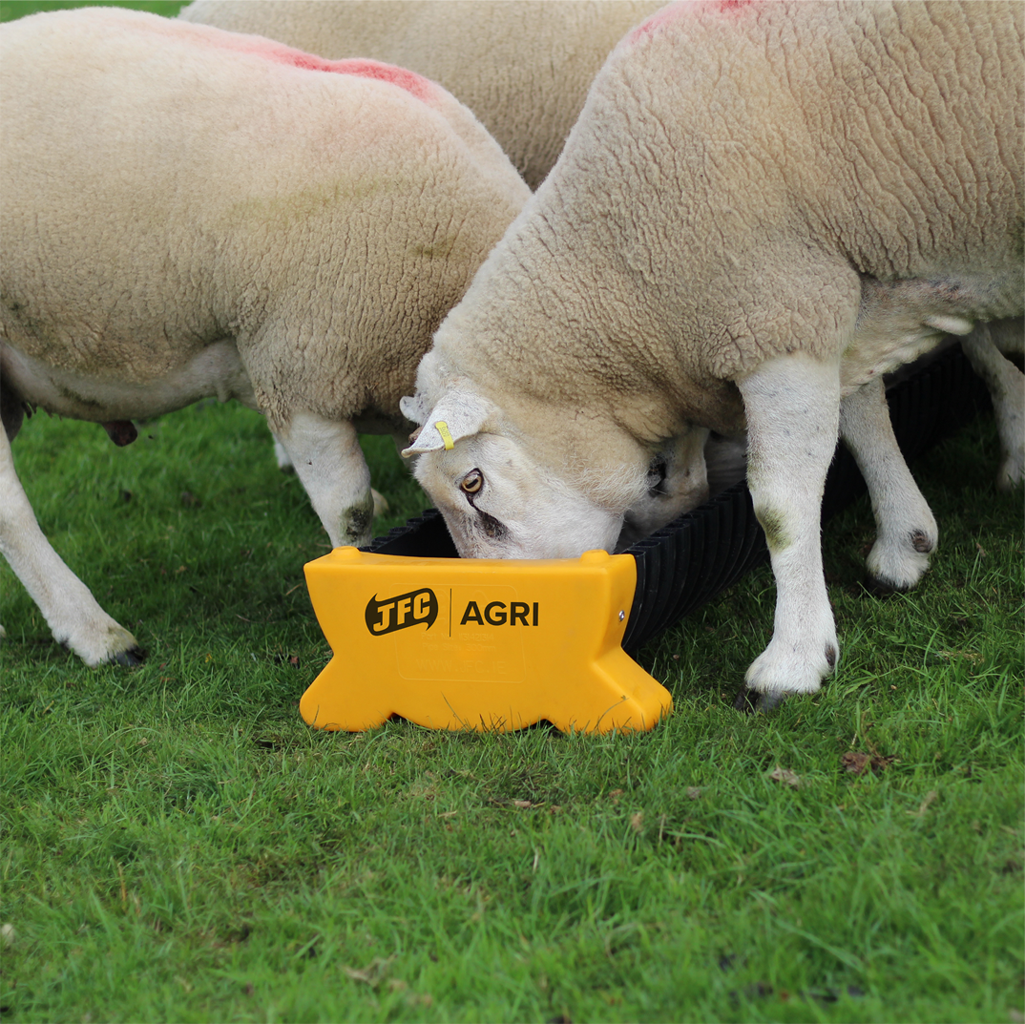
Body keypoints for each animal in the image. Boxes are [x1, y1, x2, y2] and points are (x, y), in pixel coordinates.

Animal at [401, 0, 1025, 709]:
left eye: (473, 484)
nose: (503, 644)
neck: (621, 270)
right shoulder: (824, 300)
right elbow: (866, 424)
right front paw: (906, 544)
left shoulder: (774, 316)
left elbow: (780, 505)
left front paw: (794, 661)